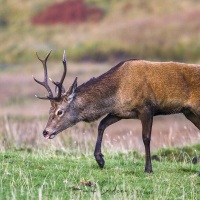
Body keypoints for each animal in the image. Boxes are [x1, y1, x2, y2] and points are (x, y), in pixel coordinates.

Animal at [33, 50, 200, 173]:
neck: (117, 91)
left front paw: (148, 169)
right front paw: (100, 160)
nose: (46, 132)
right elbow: (101, 124)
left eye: (59, 111)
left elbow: (146, 138)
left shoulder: (147, 108)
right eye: (49, 109)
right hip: (189, 112)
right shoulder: (120, 112)